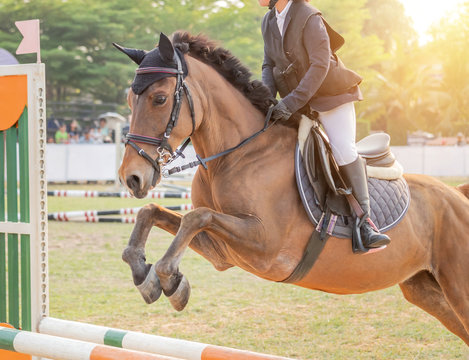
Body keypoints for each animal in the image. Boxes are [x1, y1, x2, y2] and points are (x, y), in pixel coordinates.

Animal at [116, 31, 468, 346]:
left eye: (160, 99)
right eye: (129, 99)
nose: (131, 178)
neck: (236, 155)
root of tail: (457, 195)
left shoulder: (265, 245)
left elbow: (195, 217)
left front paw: (166, 279)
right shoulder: (223, 251)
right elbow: (154, 212)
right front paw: (148, 276)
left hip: (458, 289)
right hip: (426, 290)